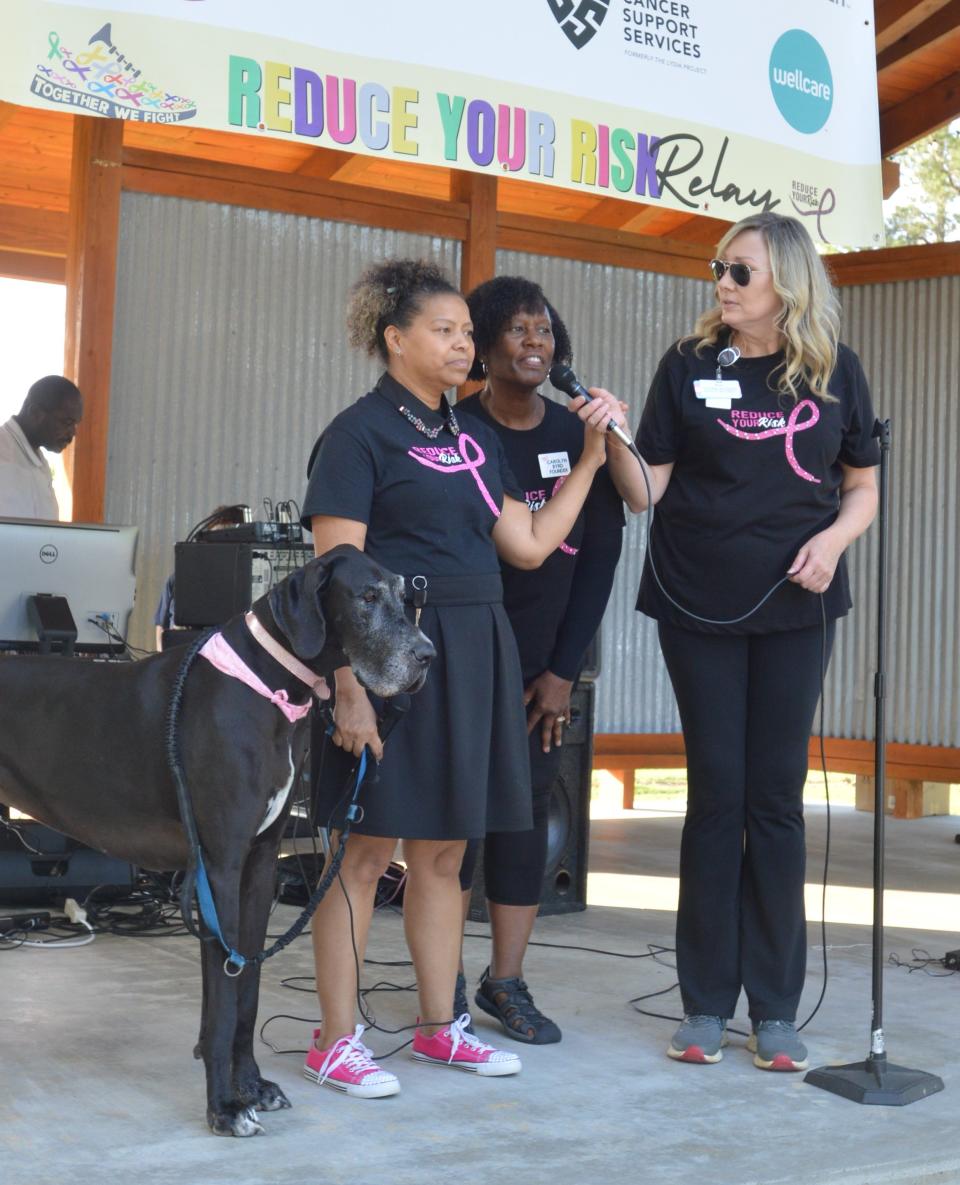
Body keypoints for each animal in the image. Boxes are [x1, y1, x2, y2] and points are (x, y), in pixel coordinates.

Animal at [0, 542, 433, 1132]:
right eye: (366, 598)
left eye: (403, 595)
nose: (427, 656)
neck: (270, 684)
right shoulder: (219, 867)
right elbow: (225, 1000)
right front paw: (225, 1106)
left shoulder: (260, 866)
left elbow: (246, 988)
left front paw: (250, 1084)